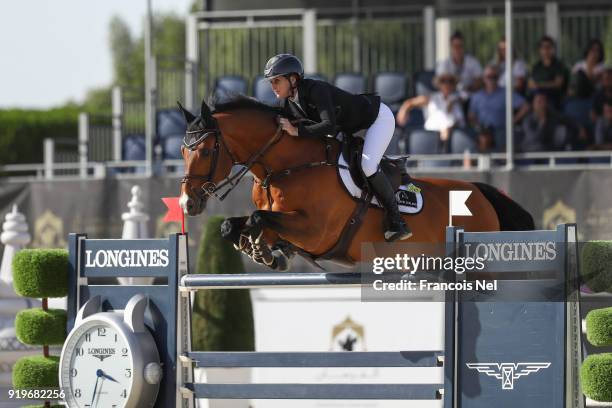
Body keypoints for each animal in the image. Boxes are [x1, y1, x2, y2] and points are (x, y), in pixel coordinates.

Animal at [178, 97, 536, 270]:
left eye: (206, 150)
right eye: (183, 151)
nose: (186, 203)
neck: (284, 166)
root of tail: (480, 193)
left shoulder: (317, 231)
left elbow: (257, 218)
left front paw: (263, 249)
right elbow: (237, 224)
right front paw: (267, 252)